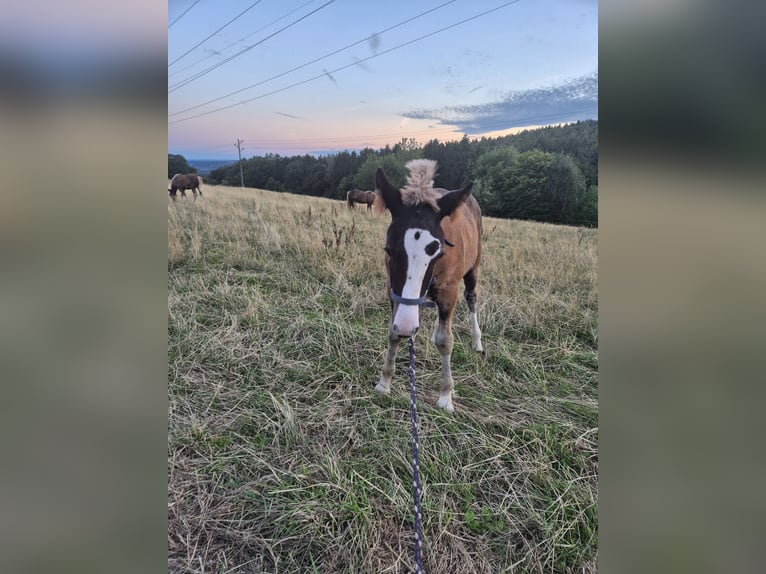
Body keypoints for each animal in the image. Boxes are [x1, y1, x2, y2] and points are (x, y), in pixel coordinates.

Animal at [373, 159, 483, 413]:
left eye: (438, 253)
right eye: (388, 250)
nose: (407, 327)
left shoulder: (449, 292)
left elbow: (445, 341)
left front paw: (446, 395)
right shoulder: (393, 290)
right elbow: (392, 333)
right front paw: (385, 382)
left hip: (473, 269)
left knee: (471, 298)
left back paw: (477, 340)